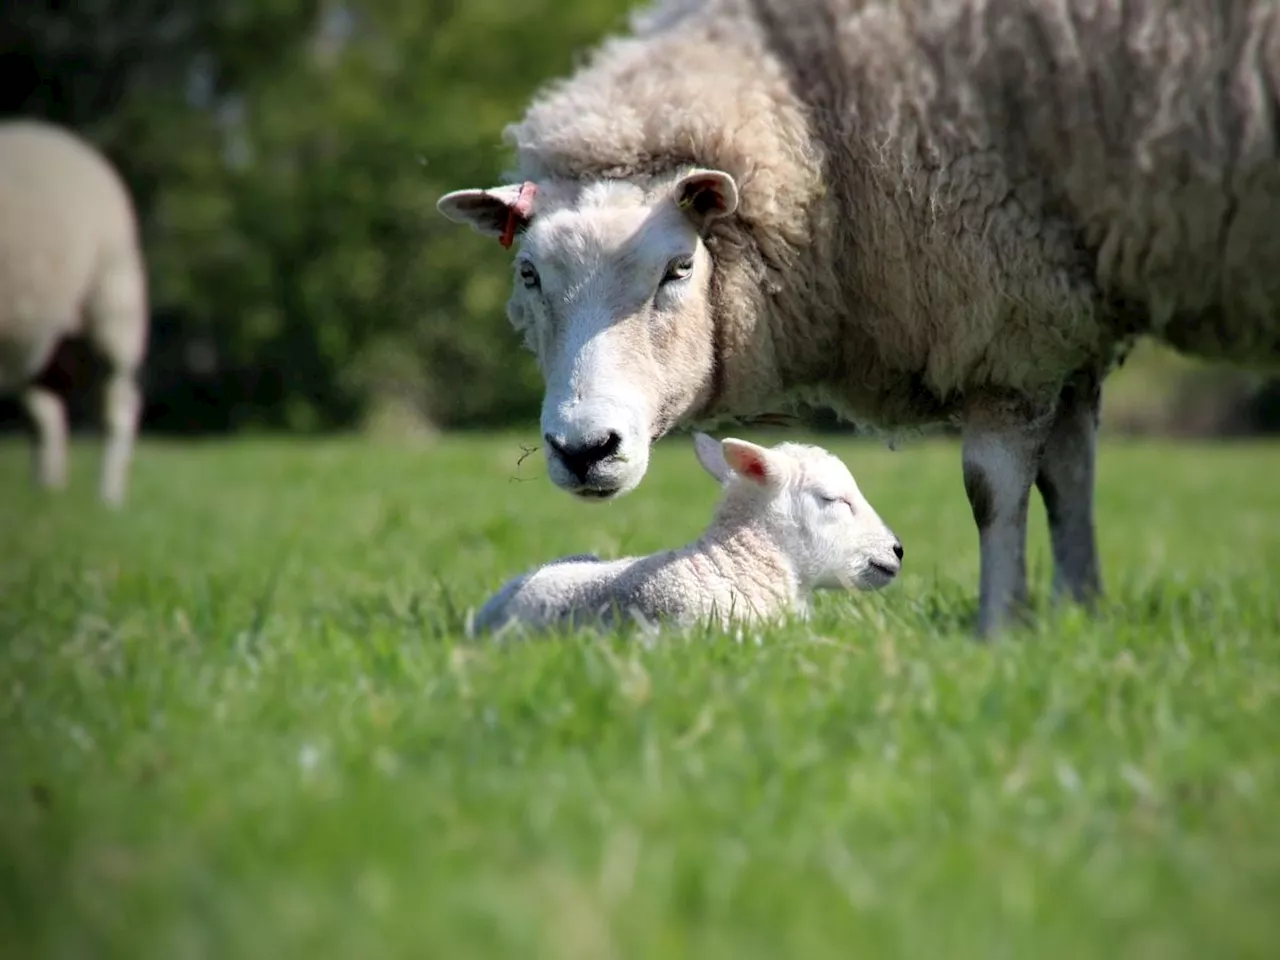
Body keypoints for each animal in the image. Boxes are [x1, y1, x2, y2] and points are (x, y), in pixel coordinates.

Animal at [0, 119, 147, 506]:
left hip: (113, 302)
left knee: (118, 405)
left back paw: (108, 497)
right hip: (43, 341)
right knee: (46, 416)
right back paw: (47, 496)